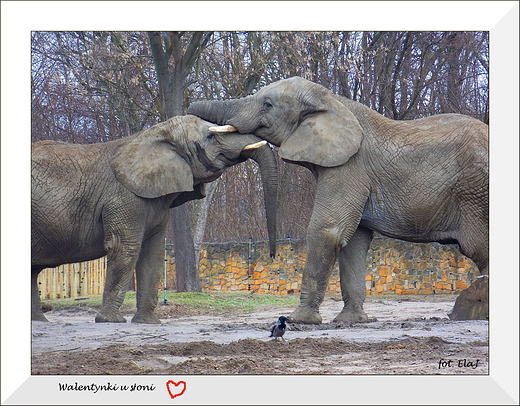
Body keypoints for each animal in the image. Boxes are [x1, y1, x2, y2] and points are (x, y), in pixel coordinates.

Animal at [31, 114, 278, 324]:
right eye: (210, 137)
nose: (272, 256)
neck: (152, 135)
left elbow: (154, 254)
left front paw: (148, 323)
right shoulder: (123, 197)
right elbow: (125, 249)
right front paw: (111, 321)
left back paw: (39, 321)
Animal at [189, 75, 490, 324]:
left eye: (267, 104)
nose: (272, 256)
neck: (331, 100)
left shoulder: (349, 167)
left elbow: (326, 231)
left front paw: (299, 320)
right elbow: (354, 242)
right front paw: (351, 321)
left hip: (476, 193)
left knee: (479, 248)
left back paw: (469, 313)